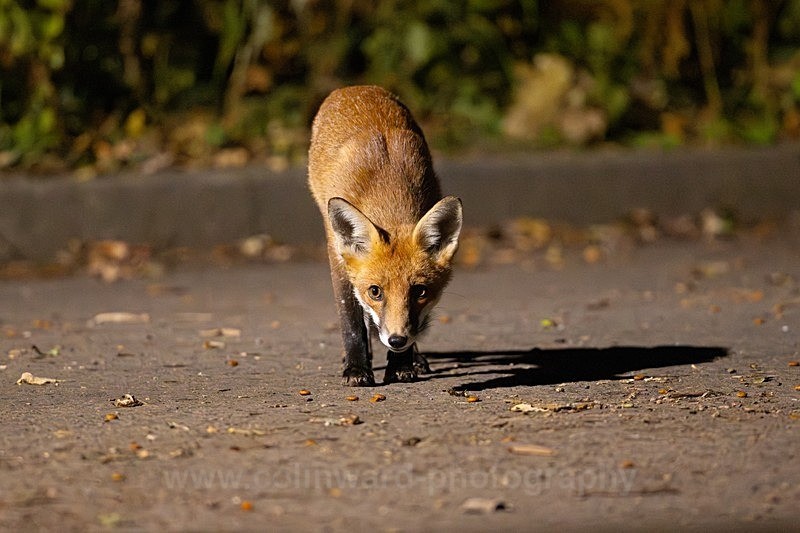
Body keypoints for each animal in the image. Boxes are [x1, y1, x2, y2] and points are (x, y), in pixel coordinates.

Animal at [308, 85, 463, 386]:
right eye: (375, 291)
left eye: (420, 291)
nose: (397, 340)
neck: (389, 192)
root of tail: (357, 88)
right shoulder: (339, 260)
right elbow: (352, 322)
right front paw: (357, 368)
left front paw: (402, 364)